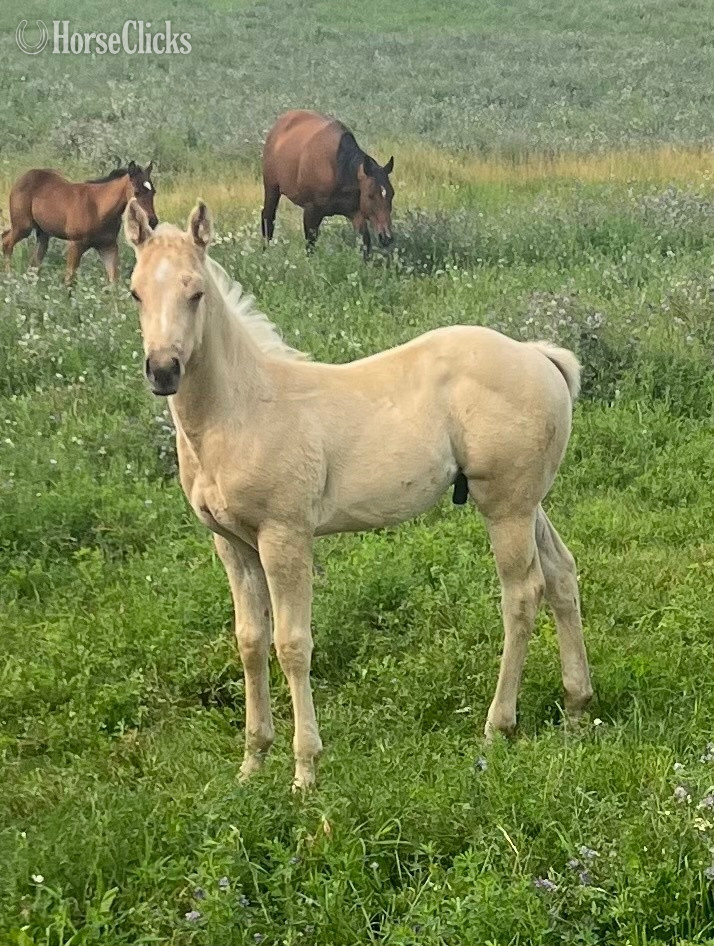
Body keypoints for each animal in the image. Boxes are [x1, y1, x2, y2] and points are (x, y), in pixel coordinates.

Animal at [3, 160, 157, 285]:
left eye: (153, 191)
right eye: (136, 192)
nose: (153, 221)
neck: (98, 208)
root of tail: (23, 177)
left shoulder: (108, 246)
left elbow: (114, 280)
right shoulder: (75, 244)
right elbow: (69, 278)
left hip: (43, 233)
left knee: (35, 260)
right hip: (23, 227)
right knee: (6, 242)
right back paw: (9, 278)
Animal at [124, 197, 593, 791]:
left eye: (196, 291)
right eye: (135, 292)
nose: (163, 370)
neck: (242, 409)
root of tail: (540, 356)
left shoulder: (285, 536)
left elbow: (292, 644)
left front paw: (305, 772)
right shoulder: (231, 545)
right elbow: (250, 642)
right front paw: (252, 763)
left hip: (504, 506)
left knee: (522, 593)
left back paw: (498, 725)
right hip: (528, 501)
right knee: (561, 573)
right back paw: (577, 705)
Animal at [261, 110, 394, 257]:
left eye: (392, 195)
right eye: (370, 195)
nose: (386, 237)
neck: (338, 168)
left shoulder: (356, 214)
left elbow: (365, 243)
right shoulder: (311, 211)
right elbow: (310, 244)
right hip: (272, 188)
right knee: (268, 217)